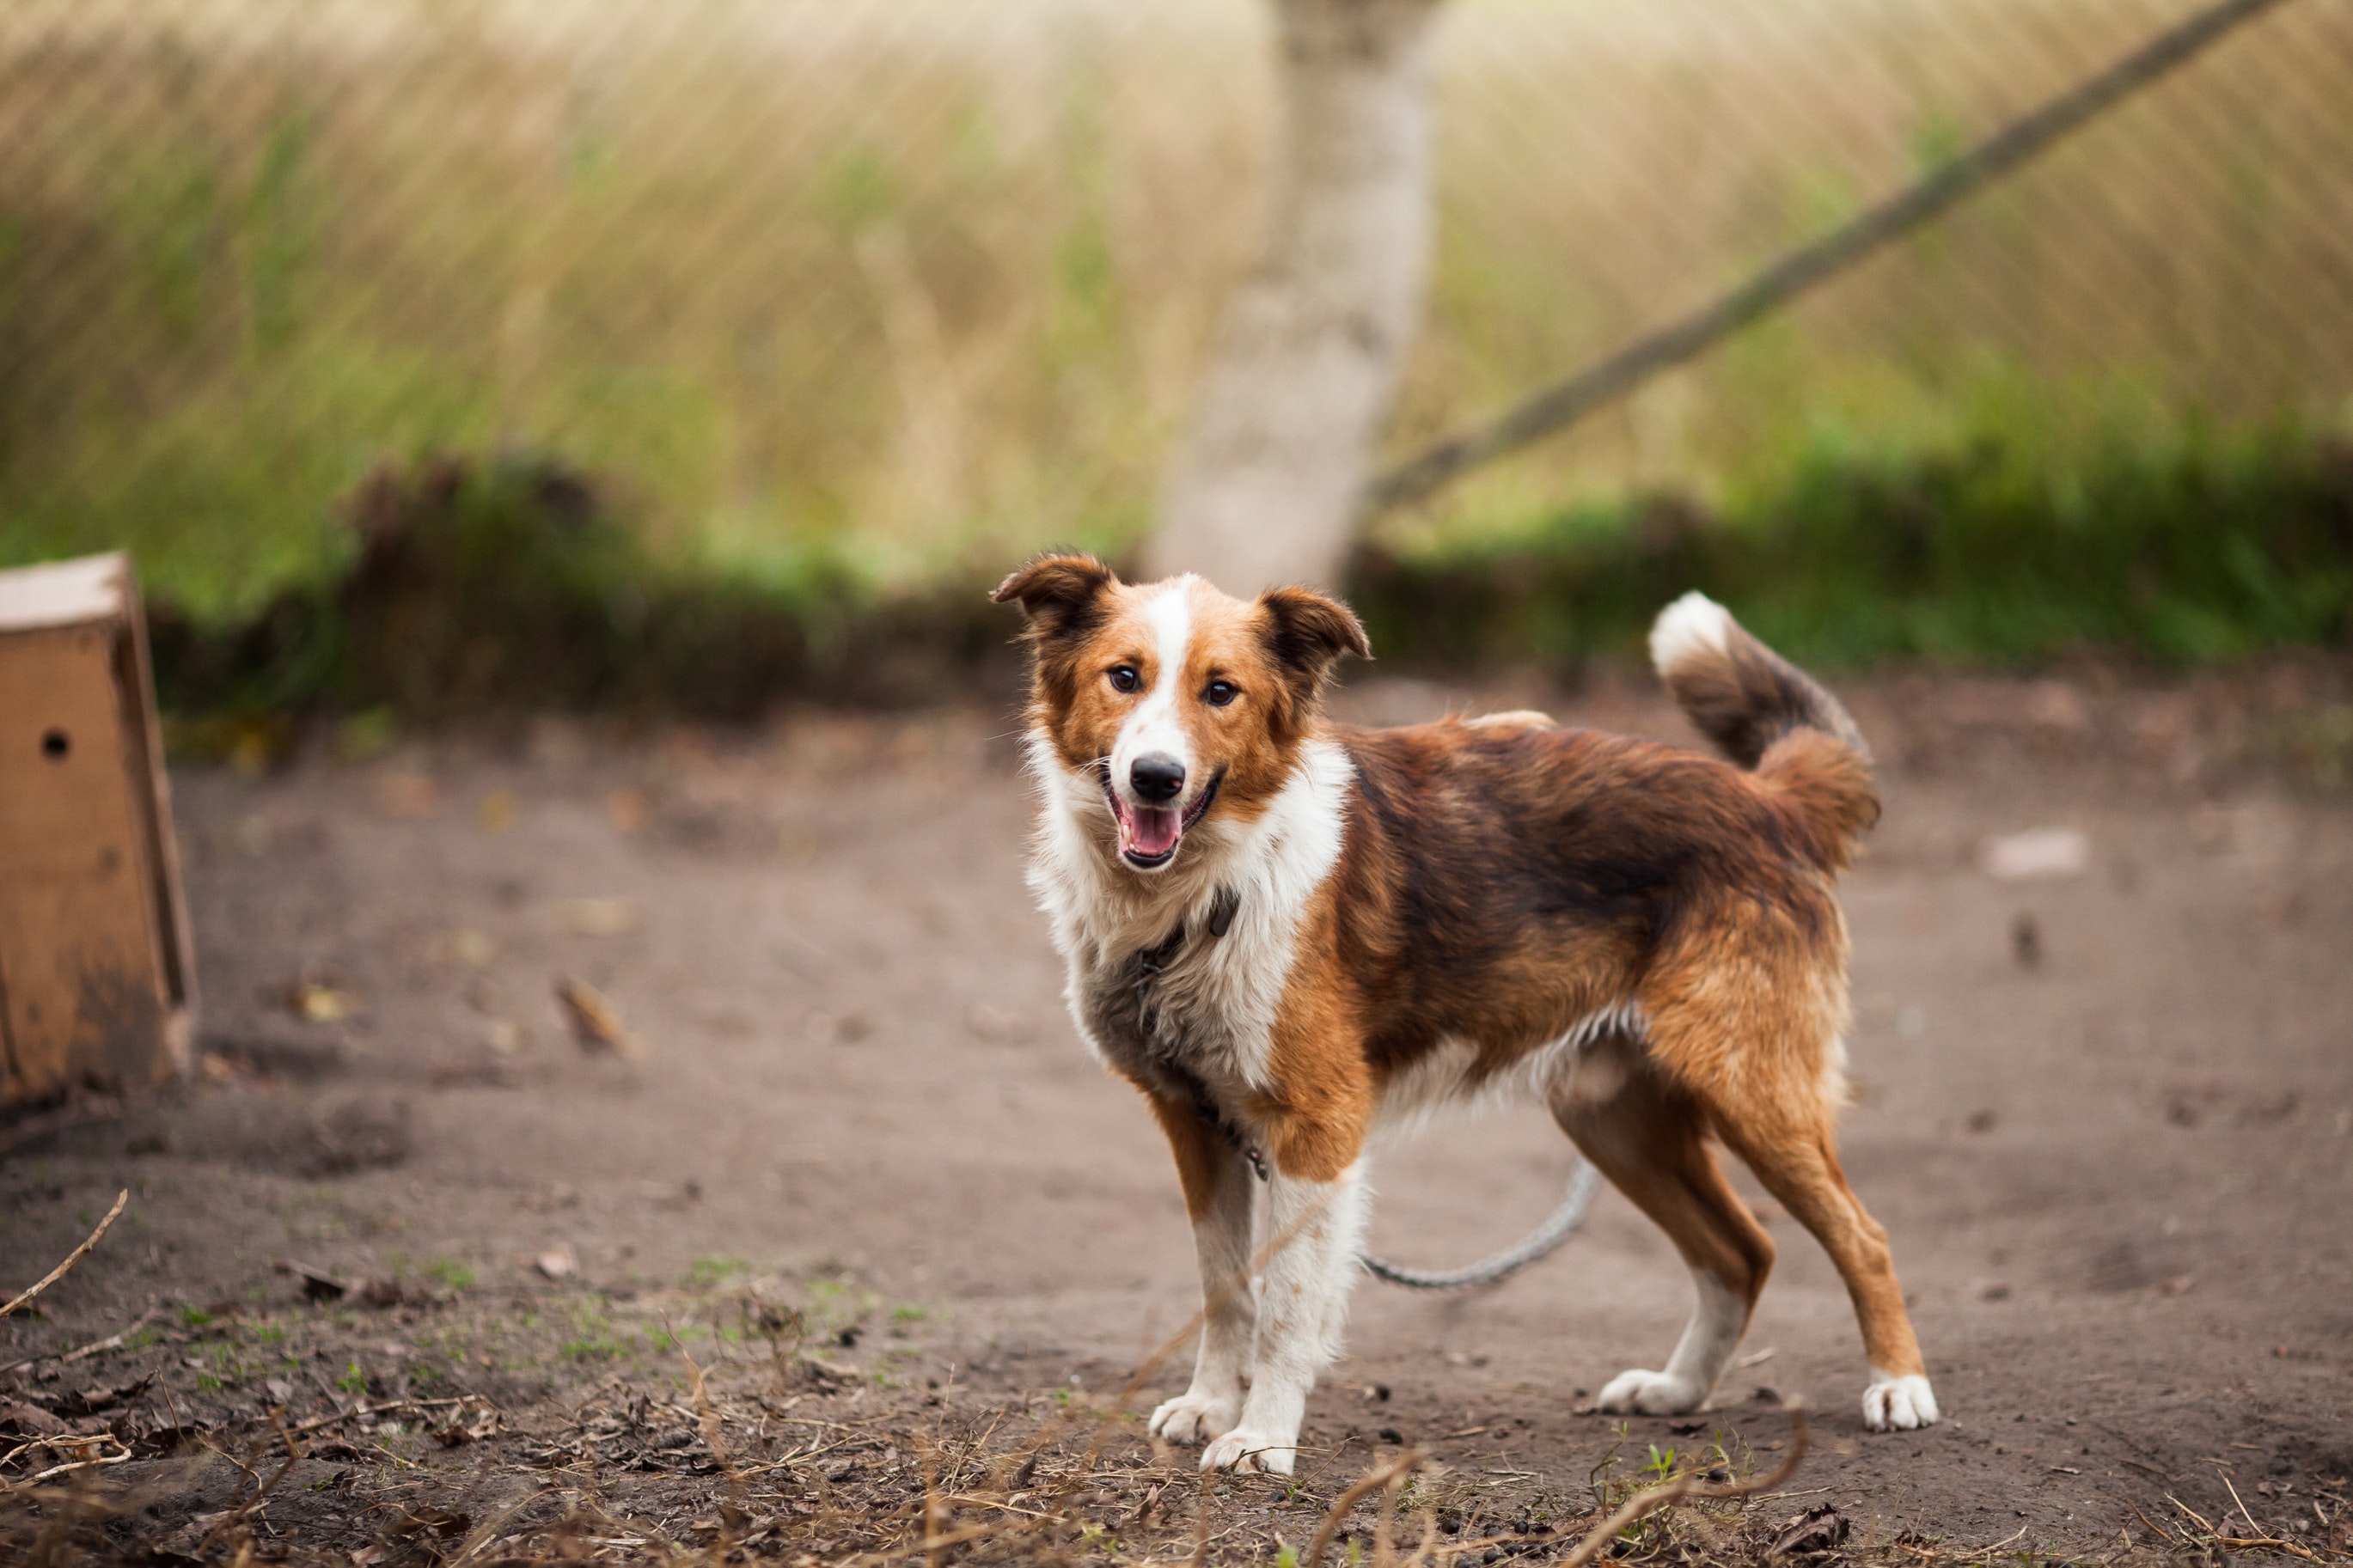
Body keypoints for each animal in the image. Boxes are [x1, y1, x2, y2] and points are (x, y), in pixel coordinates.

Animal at [993, 552, 1929, 1476]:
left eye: (1220, 691)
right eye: (1124, 677)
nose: (1156, 777)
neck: (1205, 890)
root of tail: (1769, 800)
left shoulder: (1315, 1129)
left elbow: (1287, 1304)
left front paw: (1262, 1436)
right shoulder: (1195, 1121)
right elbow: (1226, 1285)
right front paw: (1211, 1404)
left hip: (1749, 1088)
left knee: (1863, 1236)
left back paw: (1898, 1387)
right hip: (1612, 1116)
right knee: (1742, 1249)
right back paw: (1678, 1389)